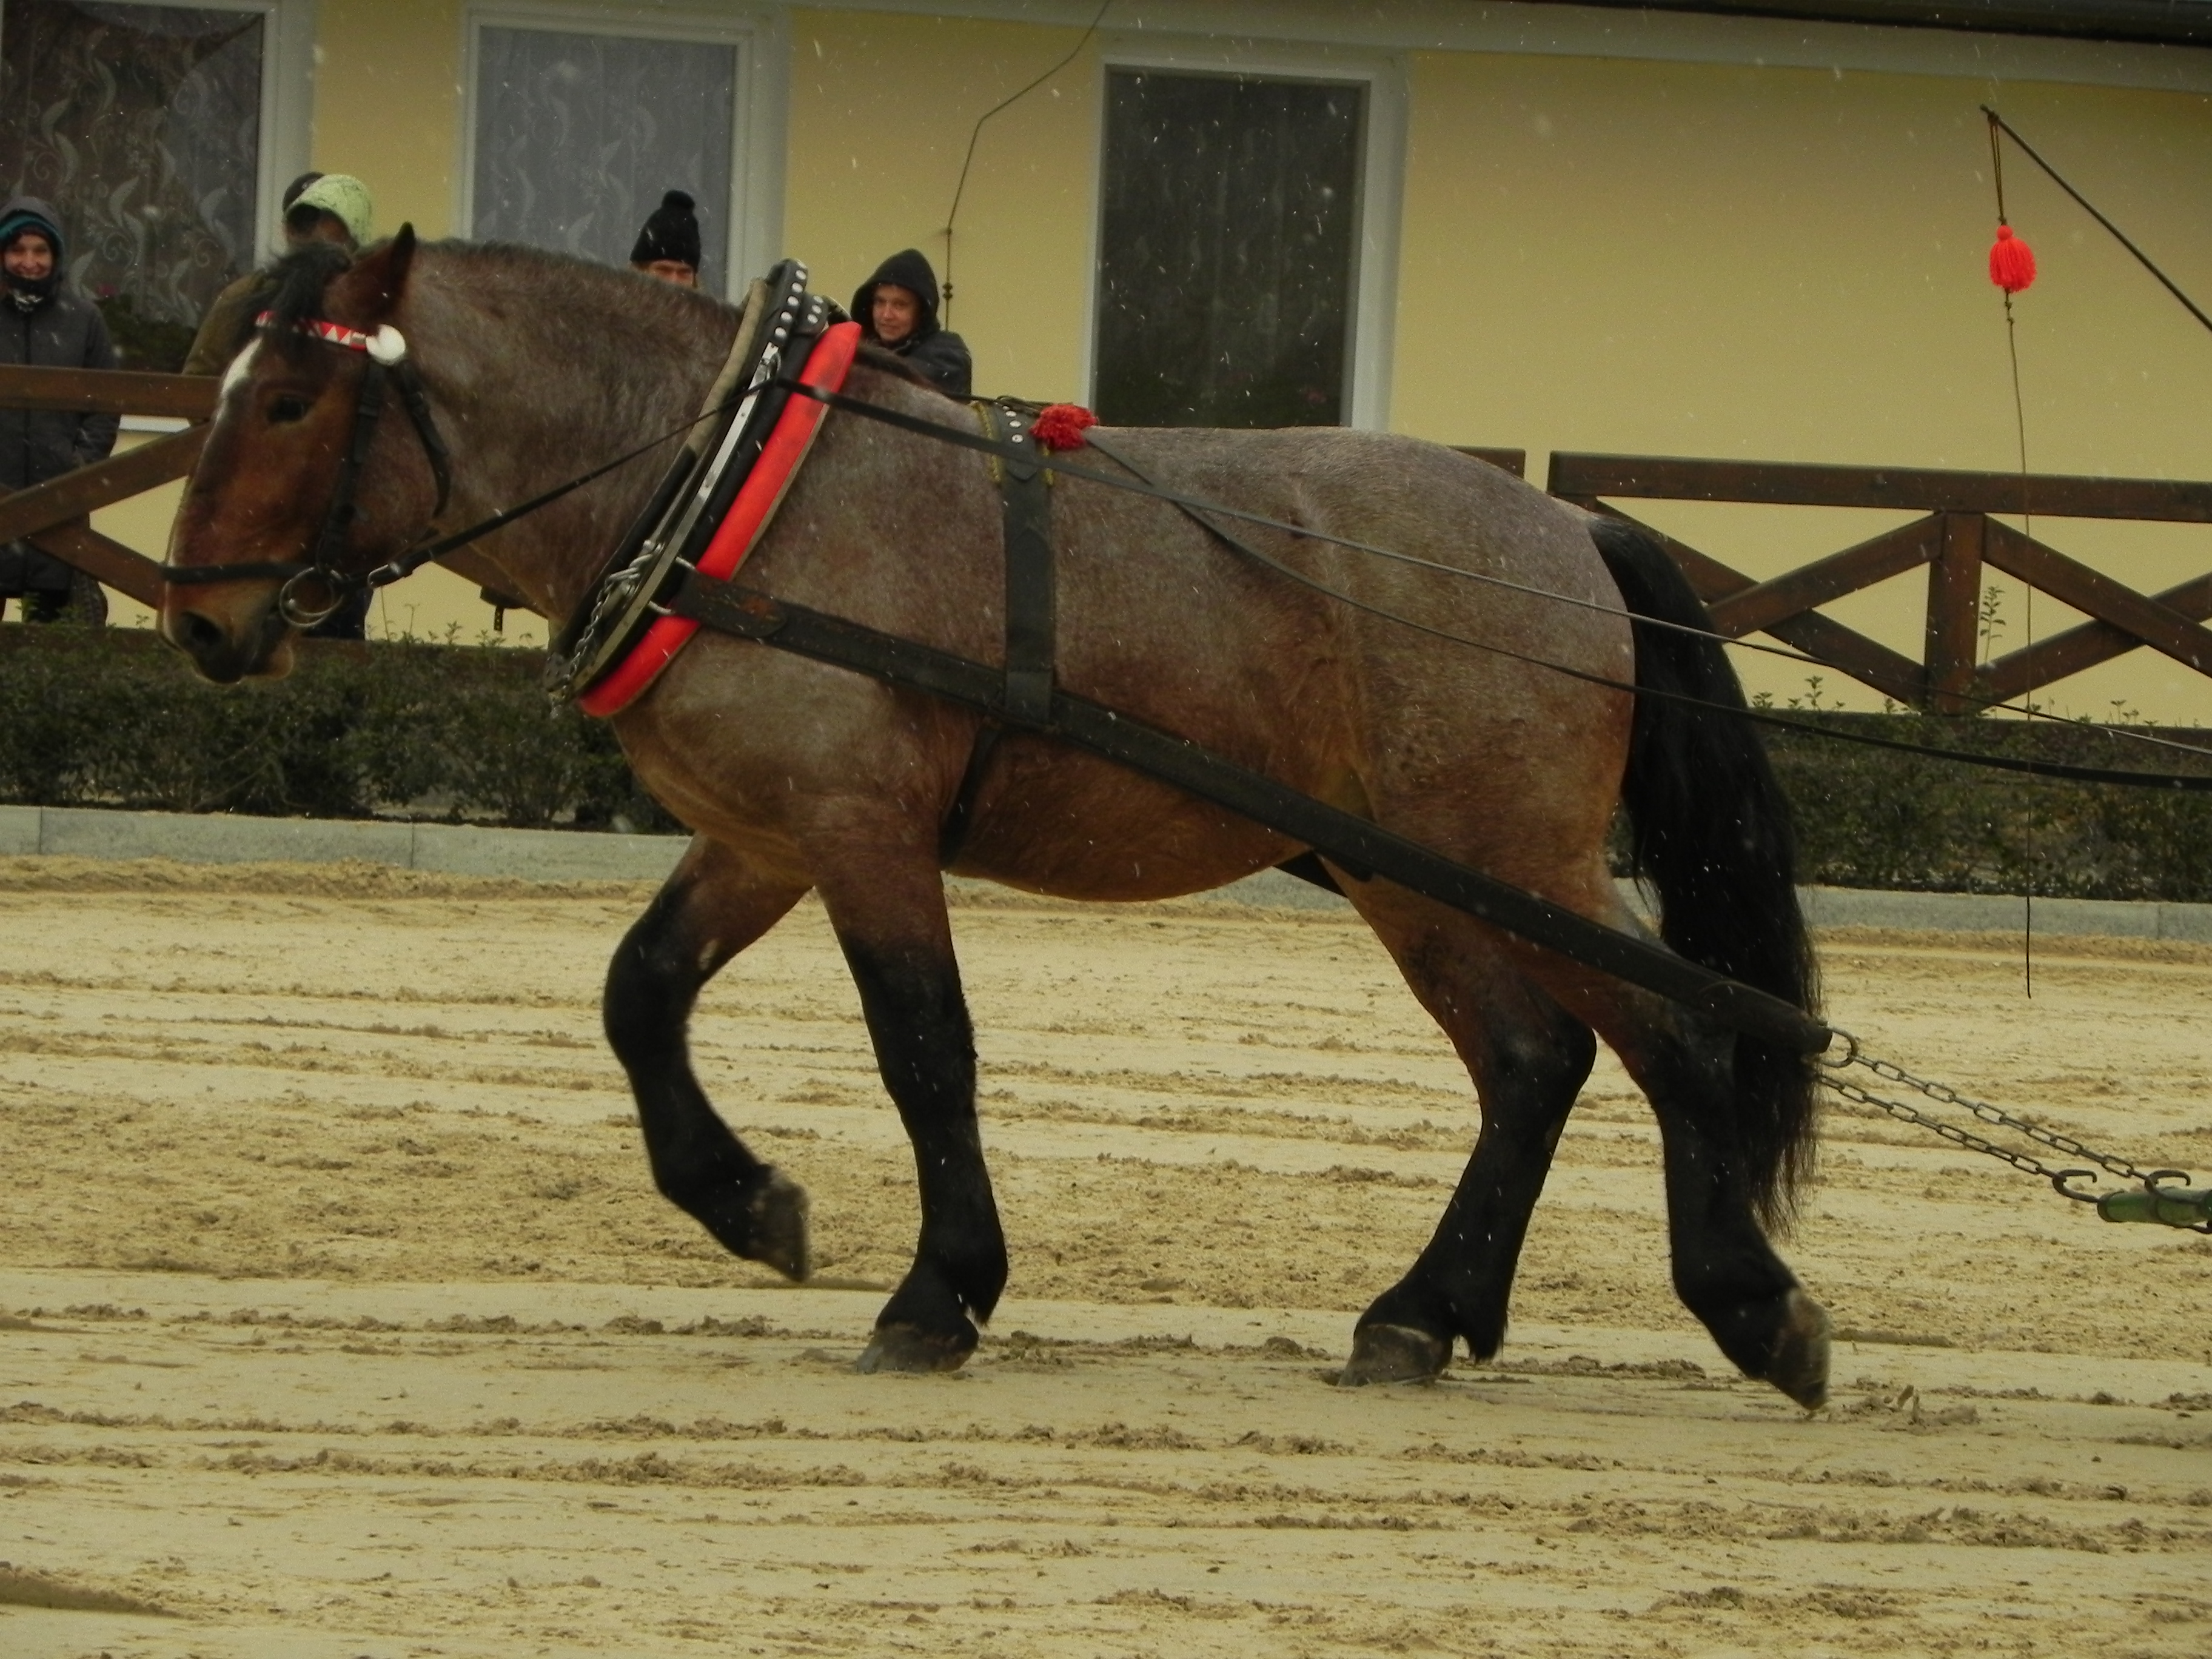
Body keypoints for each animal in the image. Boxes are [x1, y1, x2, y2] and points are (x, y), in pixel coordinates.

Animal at [160, 231, 1831, 1407]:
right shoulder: (768, 836)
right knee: (1534, 1061)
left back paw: (1751, 1305)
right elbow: (640, 993)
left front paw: (937, 1293)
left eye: (293, 399)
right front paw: (747, 1202)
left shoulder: (867, 832)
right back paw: (1424, 1312)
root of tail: (1570, 527)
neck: (727, 481)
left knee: (1675, 1038)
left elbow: (925, 1052)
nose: (198, 621)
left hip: (1508, 855)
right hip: (1410, 875)